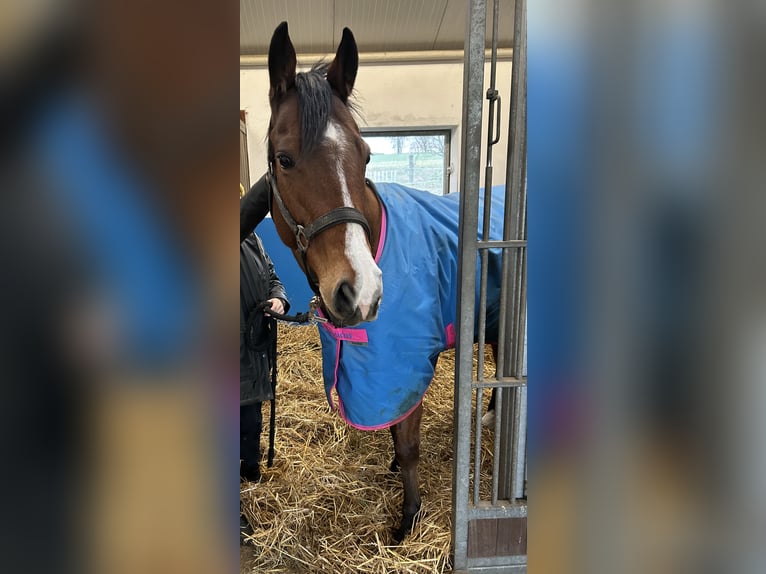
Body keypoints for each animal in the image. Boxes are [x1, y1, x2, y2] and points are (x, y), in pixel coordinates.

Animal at [260, 21, 508, 544]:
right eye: (284, 159)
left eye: (366, 154)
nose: (362, 291)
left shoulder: (405, 363)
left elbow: (408, 444)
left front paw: (409, 516)